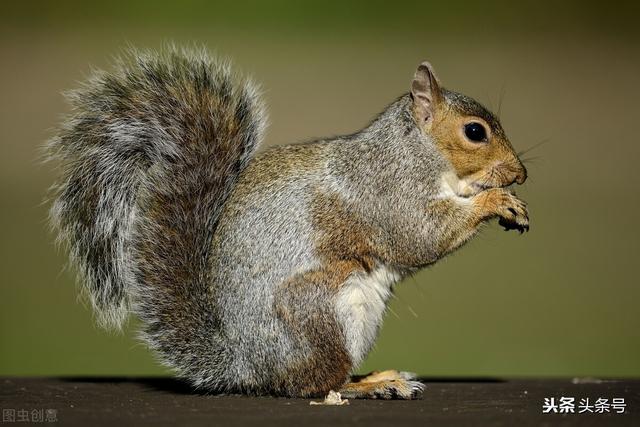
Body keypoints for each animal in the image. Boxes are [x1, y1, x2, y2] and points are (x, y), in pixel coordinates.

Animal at [48, 47, 528, 402]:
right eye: (474, 132)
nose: (520, 174)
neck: (415, 151)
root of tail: (246, 366)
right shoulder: (387, 194)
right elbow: (420, 235)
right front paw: (497, 201)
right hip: (322, 313)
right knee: (316, 385)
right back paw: (371, 385)